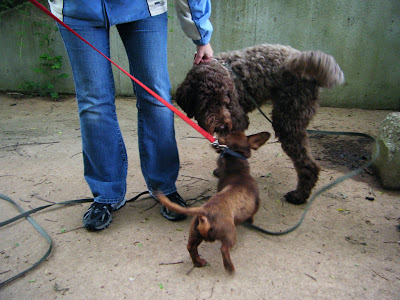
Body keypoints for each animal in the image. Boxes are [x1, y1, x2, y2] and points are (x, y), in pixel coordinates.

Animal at [155, 130, 270, 274]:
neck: (237, 172)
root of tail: (205, 211)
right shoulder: (256, 204)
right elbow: (252, 215)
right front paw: (250, 221)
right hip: (230, 234)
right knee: (224, 249)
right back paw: (230, 268)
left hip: (195, 233)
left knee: (190, 247)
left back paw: (199, 262)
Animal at [177, 43, 346, 205]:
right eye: (205, 104)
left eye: (225, 101)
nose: (222, 126)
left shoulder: (237, 120)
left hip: (287, 120)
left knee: (308, 165)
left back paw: (299, 195)